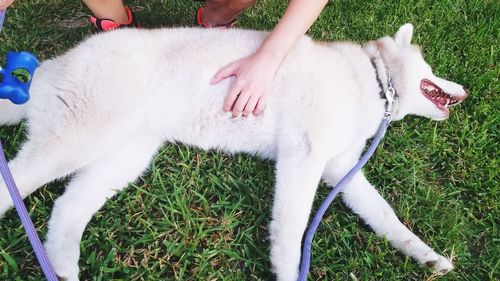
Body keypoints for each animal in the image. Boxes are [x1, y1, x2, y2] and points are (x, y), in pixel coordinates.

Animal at [0, 23, 466, 278]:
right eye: (432, 68)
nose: (464, 90)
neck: (372, 77)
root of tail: (44, 70)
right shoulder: (304, 157)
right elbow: (291, 232)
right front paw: (288, 272)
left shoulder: (340, 171)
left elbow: (386, 217)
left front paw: (426, 257)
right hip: (76, 141)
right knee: (13, 185)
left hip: (122, 160)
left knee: (65, 210)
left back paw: (62, 269)